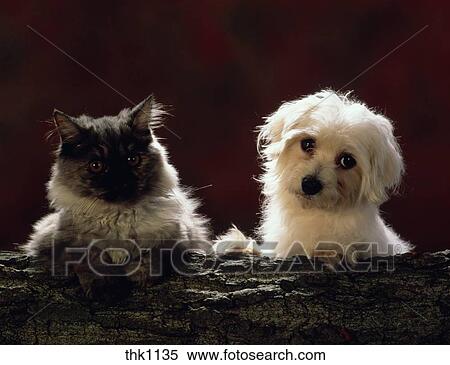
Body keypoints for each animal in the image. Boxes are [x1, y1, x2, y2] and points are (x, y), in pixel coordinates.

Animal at [22, 95, 209, 298]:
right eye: (96, 165)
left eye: (132, 160)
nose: (121, 182)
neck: (118, 217)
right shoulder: (63, 241)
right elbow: (91, 256)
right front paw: (104, 287)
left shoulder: (178, 236)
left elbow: (152, 251)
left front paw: (142, 274)